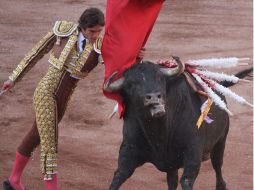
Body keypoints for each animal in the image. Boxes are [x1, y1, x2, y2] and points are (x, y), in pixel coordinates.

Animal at [103, 58, 252, 189]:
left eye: (160, 79)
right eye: (131, 84)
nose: (154, 97)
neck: (158, 132)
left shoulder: (193, 151)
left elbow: (186, 180)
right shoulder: (129, 149)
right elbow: (119, 175)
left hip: (221, 140)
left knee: (217, 164)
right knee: (172, 180)